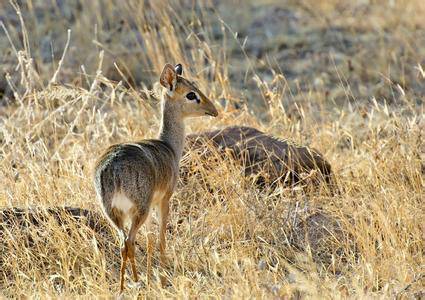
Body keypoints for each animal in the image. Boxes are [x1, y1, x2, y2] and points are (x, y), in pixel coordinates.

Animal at [94, 63, 217, 292]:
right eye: (191, 94)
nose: (214, 110)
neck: (169, 146)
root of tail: (112, 167)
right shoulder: (164, 200)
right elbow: (160, 238)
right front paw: (162, 273)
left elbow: (150, 240)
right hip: (137, 211)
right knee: (129, 242)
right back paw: (135, 282)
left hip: (115, 214)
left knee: (124, 244)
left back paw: (124, 286)